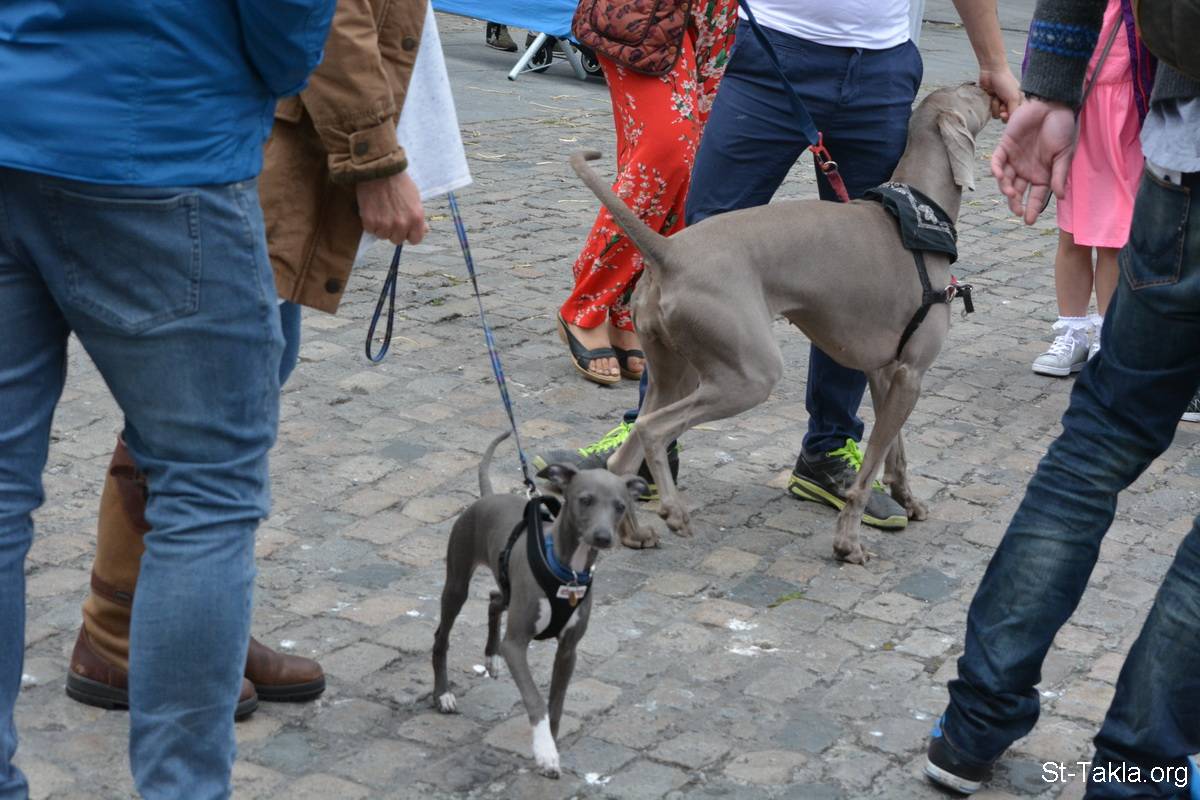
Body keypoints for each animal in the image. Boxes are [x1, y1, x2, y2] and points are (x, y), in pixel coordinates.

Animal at [431, 432, 647, 777]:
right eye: (585, 499)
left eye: (620, 506)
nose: (602, 537)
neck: (569, 574)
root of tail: (488, 496)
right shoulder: (516, 645)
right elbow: (534, 700)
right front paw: (545, 750)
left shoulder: (568, 651)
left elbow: (556, 704)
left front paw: (552, 746)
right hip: (457, 584)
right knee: (442, 636)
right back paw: (443, 695)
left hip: (508, 590)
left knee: (494, 600)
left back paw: (491, 656)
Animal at [570, 84, 992, 564]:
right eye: (970, 96)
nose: (988, 86)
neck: (916, 216)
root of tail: (669, 251)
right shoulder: (911, 373)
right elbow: (868, 472)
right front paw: (848, 542)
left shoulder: (888, 372)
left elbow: (894, 452)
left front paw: (908, 501)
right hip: (749, 374)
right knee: (652, 429)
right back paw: (674, 511)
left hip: (674, 371)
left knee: (622, 459)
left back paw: (635, 532)